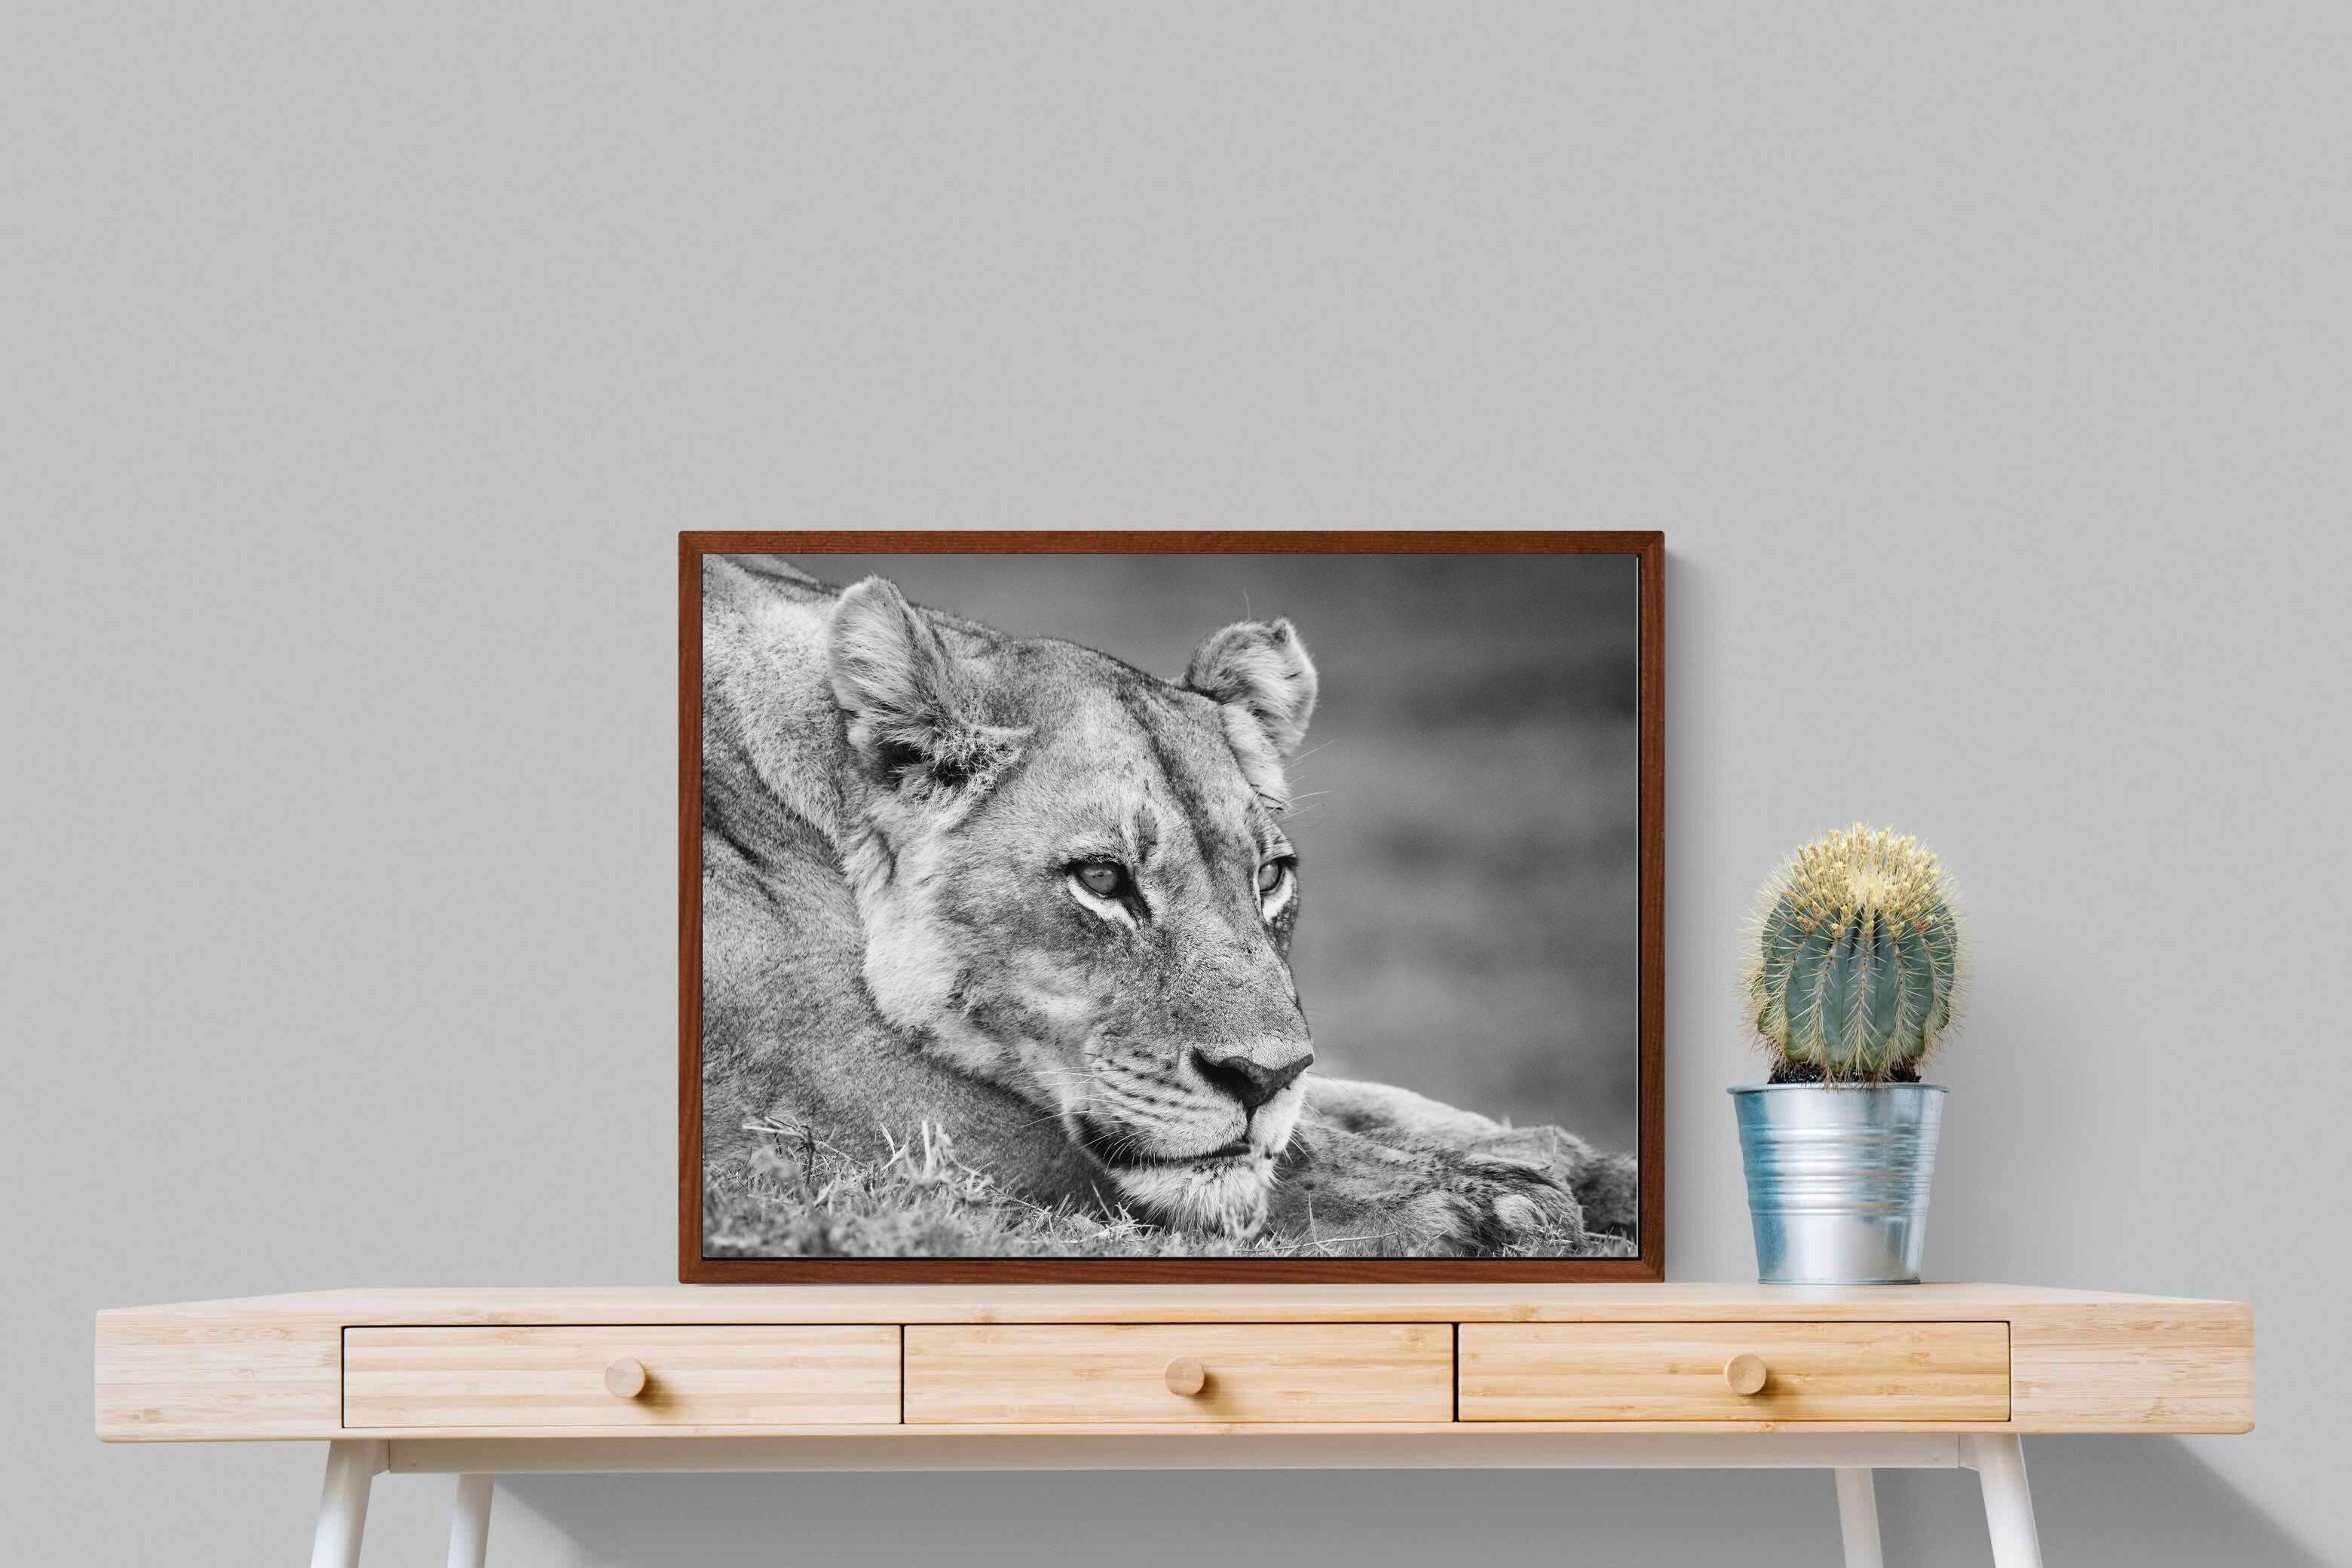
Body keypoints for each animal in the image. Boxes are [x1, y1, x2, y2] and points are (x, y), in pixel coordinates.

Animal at [700, 554, 1634, 1254]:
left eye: (1271, 877)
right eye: (1102, 879)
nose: (1261, 1080)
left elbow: (1350, 1100)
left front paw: (1580, 1167)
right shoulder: (835, 1096)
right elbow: (1252, 1156)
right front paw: (1491, 1203)